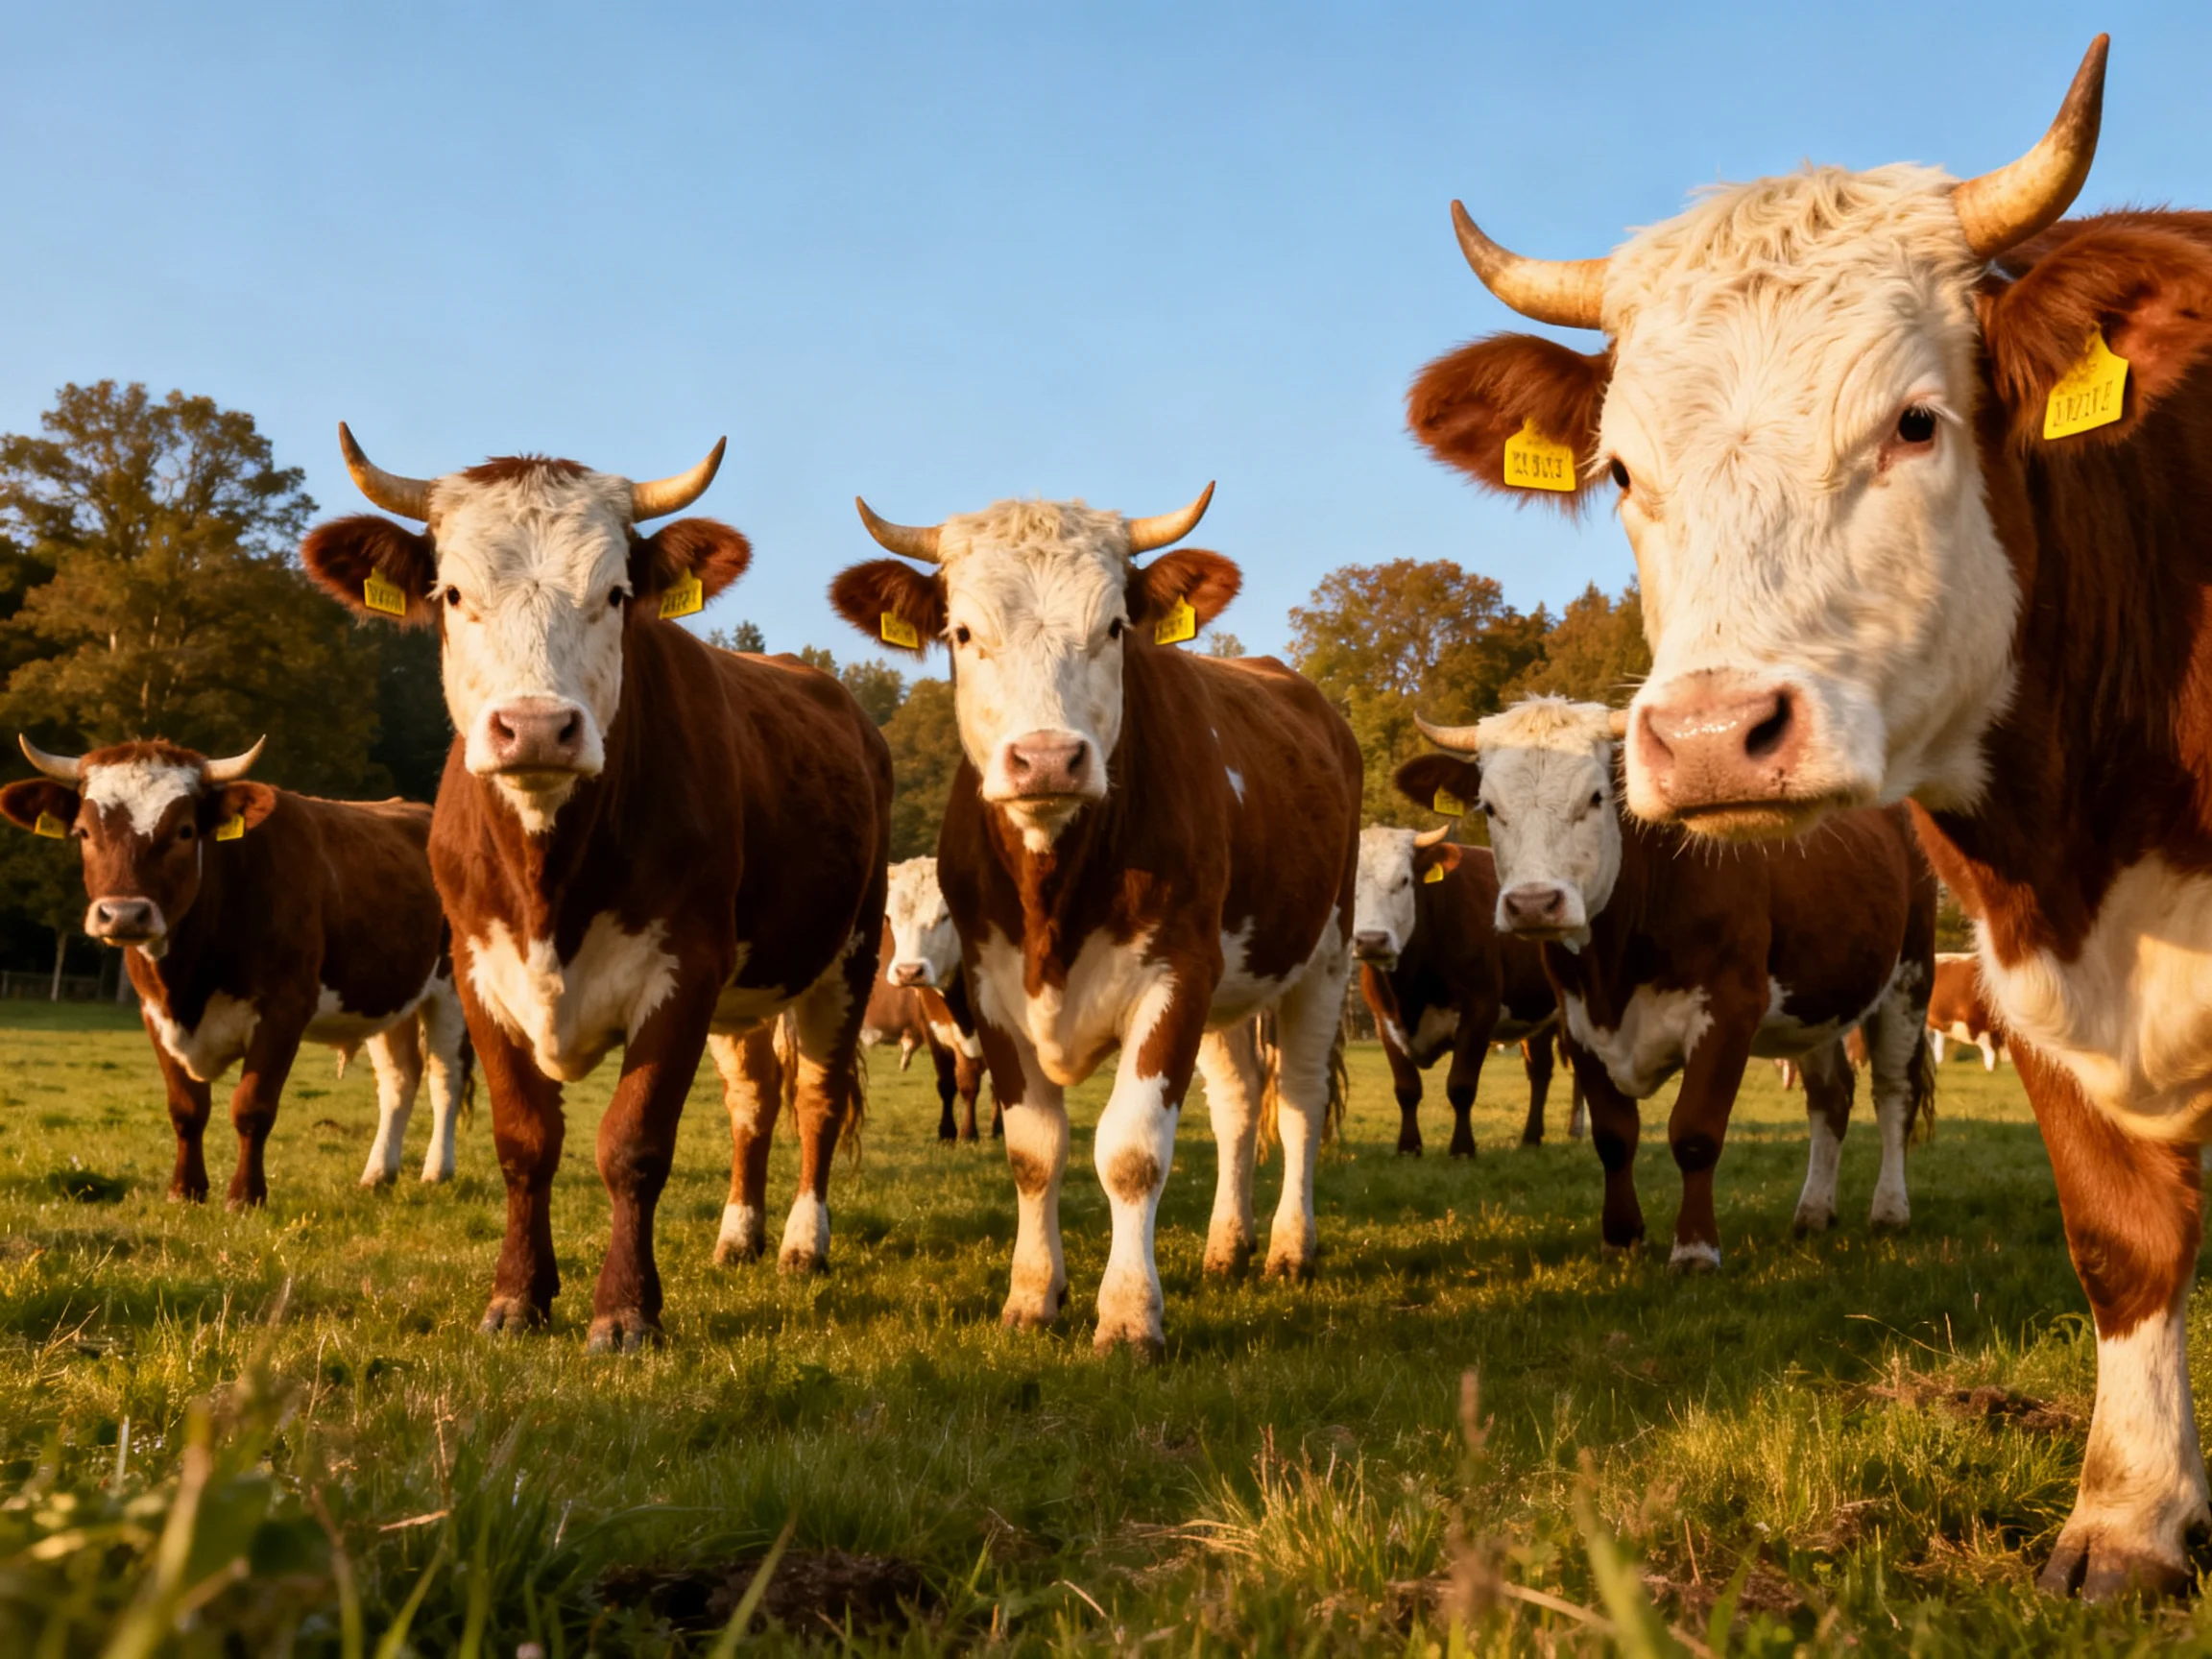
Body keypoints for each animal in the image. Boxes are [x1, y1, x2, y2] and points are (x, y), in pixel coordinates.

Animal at [1, 737, 467, 1202]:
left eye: (185, 831)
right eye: (83, 832)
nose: (124, 914)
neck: (189, 980)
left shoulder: (284, 1011)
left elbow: (252, 1107)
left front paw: (245, 1195)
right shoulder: (155, 1014)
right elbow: (187, 1108)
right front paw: (186, 1190)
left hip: (453, 993)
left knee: (446, 1076)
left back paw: (437, 1171)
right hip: (390, 997)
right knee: (399, 1078)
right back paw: (378, 1174)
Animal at [299, 430, 891, 1353]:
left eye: (614, 594)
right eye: (453, 592)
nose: (539, 727)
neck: (551, 881)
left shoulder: (683, 970)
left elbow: (633, 1145)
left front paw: (625, 1310)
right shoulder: (480, 972)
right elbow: (525, 1142)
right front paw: (517, 1297)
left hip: (849, 955)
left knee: (817, 1100)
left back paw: (801, 1242)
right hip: (743, 996)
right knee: (754, 1099)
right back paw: (739, 1233)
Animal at [881, 856, 994, 1141]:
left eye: (946, 915)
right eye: (889, 917)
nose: (909, 972)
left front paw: (968, 1133)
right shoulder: (932, 1029)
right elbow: (947, 1082)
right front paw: (946, 1132)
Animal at [1350, 823, 1576, 1154]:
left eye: (1404, 880)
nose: (1371, 941)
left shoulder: (1480, 1009)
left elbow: (1461, 1086)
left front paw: (1462, 1148)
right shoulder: (1384, 1020)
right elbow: (1406, 1088)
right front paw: (1409, 1147)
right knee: (1540, 1070)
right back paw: (1531, 1137)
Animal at [1398, 700, 1937, 1266]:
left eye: (1596, 798)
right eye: (1489, 807)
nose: (1533, 903)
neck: (1614, 964)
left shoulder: (1728, 1009)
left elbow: (1695, 1131)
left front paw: (1695, 1248)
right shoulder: (1579, 1020)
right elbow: (1614, 1135)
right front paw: (1621, 1237)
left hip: (1909, 978)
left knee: (1894, 1091)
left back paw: (1889, 1211)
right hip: (1817, 1004)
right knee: (1830, 1097)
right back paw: (1813, 1212)